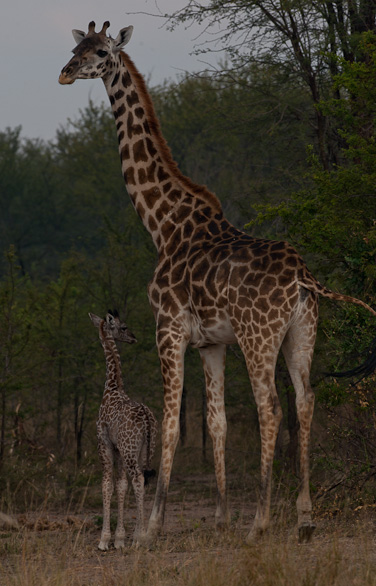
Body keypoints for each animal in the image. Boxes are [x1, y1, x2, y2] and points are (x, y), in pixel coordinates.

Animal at [89, 310, 157, 548]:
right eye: (124, 327)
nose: (133, 338)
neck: (112, 387)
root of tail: (146, 417)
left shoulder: (105, 444)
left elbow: (107, 484)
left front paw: (104, 540)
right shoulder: (118, 448)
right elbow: (120, 485)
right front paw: (119, 538)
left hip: (129, 450)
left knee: (138, 479)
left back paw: (141, 537)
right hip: (145, 448)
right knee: (145, 478)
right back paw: (139, 535)